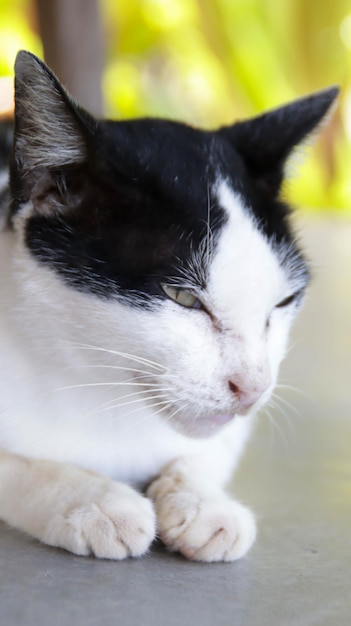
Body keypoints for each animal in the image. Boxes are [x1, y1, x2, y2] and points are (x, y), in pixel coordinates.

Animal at [0, 51, 340, 560]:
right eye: (182, 298)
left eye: (283, 302)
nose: (253, 388)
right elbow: (16, 463)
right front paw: (92, 500)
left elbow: (208, 450)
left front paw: (200, 502)